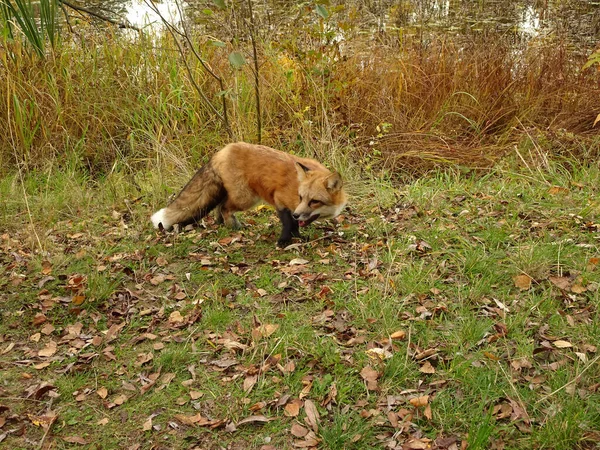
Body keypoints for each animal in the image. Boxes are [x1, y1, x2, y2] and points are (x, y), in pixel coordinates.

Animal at [151, 142, 346, 246]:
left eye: (314, 201)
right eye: (301, 197)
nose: (298, 214)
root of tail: (223, 151)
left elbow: (295, 224)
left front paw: (298, 237)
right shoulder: (280, 200)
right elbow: (288, 223)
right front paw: (284, 241)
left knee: (219, 206)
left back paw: (222, 224)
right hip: (245, 198)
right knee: (224, 207)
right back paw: (233, 226)